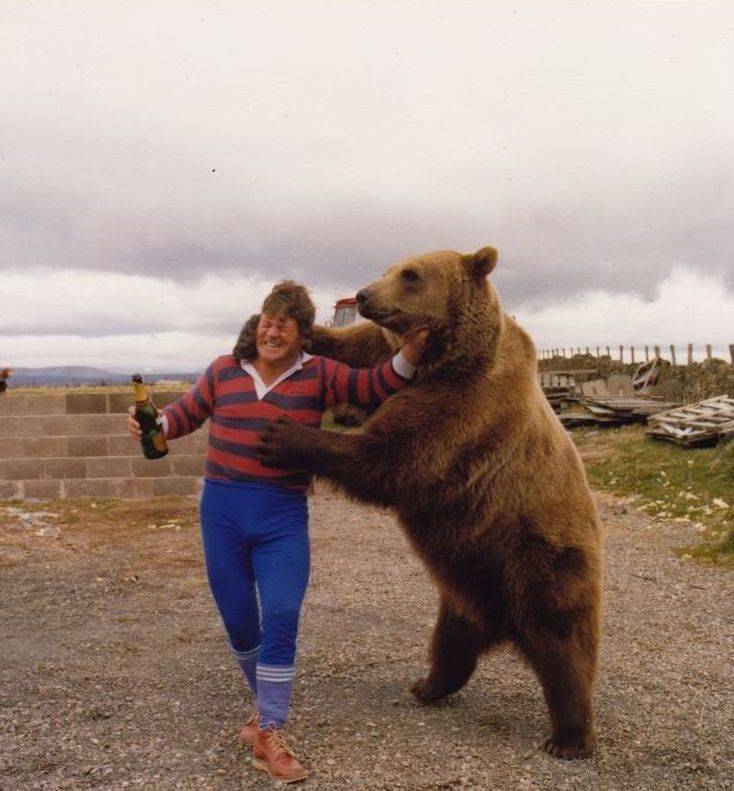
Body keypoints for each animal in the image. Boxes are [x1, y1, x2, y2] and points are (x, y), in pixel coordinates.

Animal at [258, 248, 604, 760]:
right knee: (451, 642)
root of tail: (502, 625)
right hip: (466, 582)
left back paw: (569, 737)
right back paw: (427, 685)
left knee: (563, 645)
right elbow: (362, 352)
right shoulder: (401, 365)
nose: (364, 295)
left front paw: (283, 436)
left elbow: (391, 458)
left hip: (541, 556)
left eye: (410, 274)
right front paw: (307, 329)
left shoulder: (465, 407)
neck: (448, 358)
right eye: (388, 268)